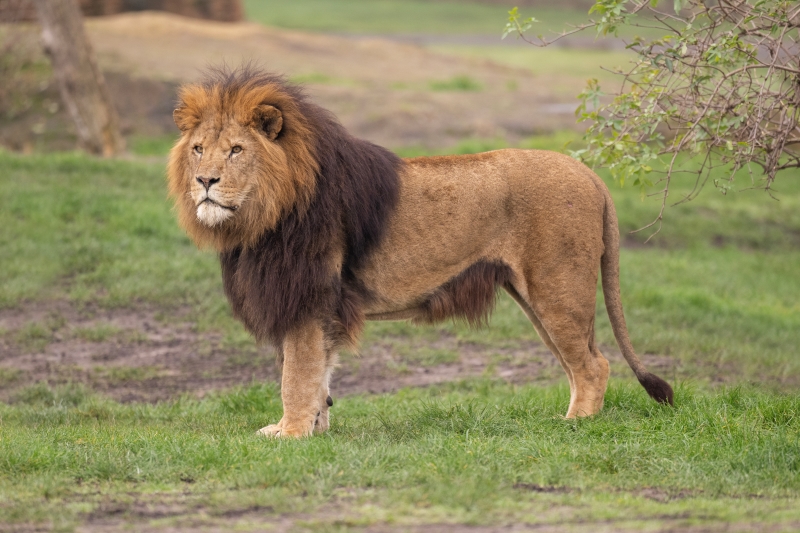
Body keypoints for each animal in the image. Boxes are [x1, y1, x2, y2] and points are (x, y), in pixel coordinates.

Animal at [168, 67, 673, 438]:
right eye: (198, 149)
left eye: (236, 150)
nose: (205, 181)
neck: (264, 214)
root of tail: (589, 174)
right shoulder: (318, 305)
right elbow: (319, 375)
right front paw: (315, 429)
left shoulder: (307, 298)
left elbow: (296, 374)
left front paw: (290, 434)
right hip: (537, 298)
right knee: (580, 362)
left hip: (558, 290)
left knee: (593, 364)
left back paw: (575, 426)